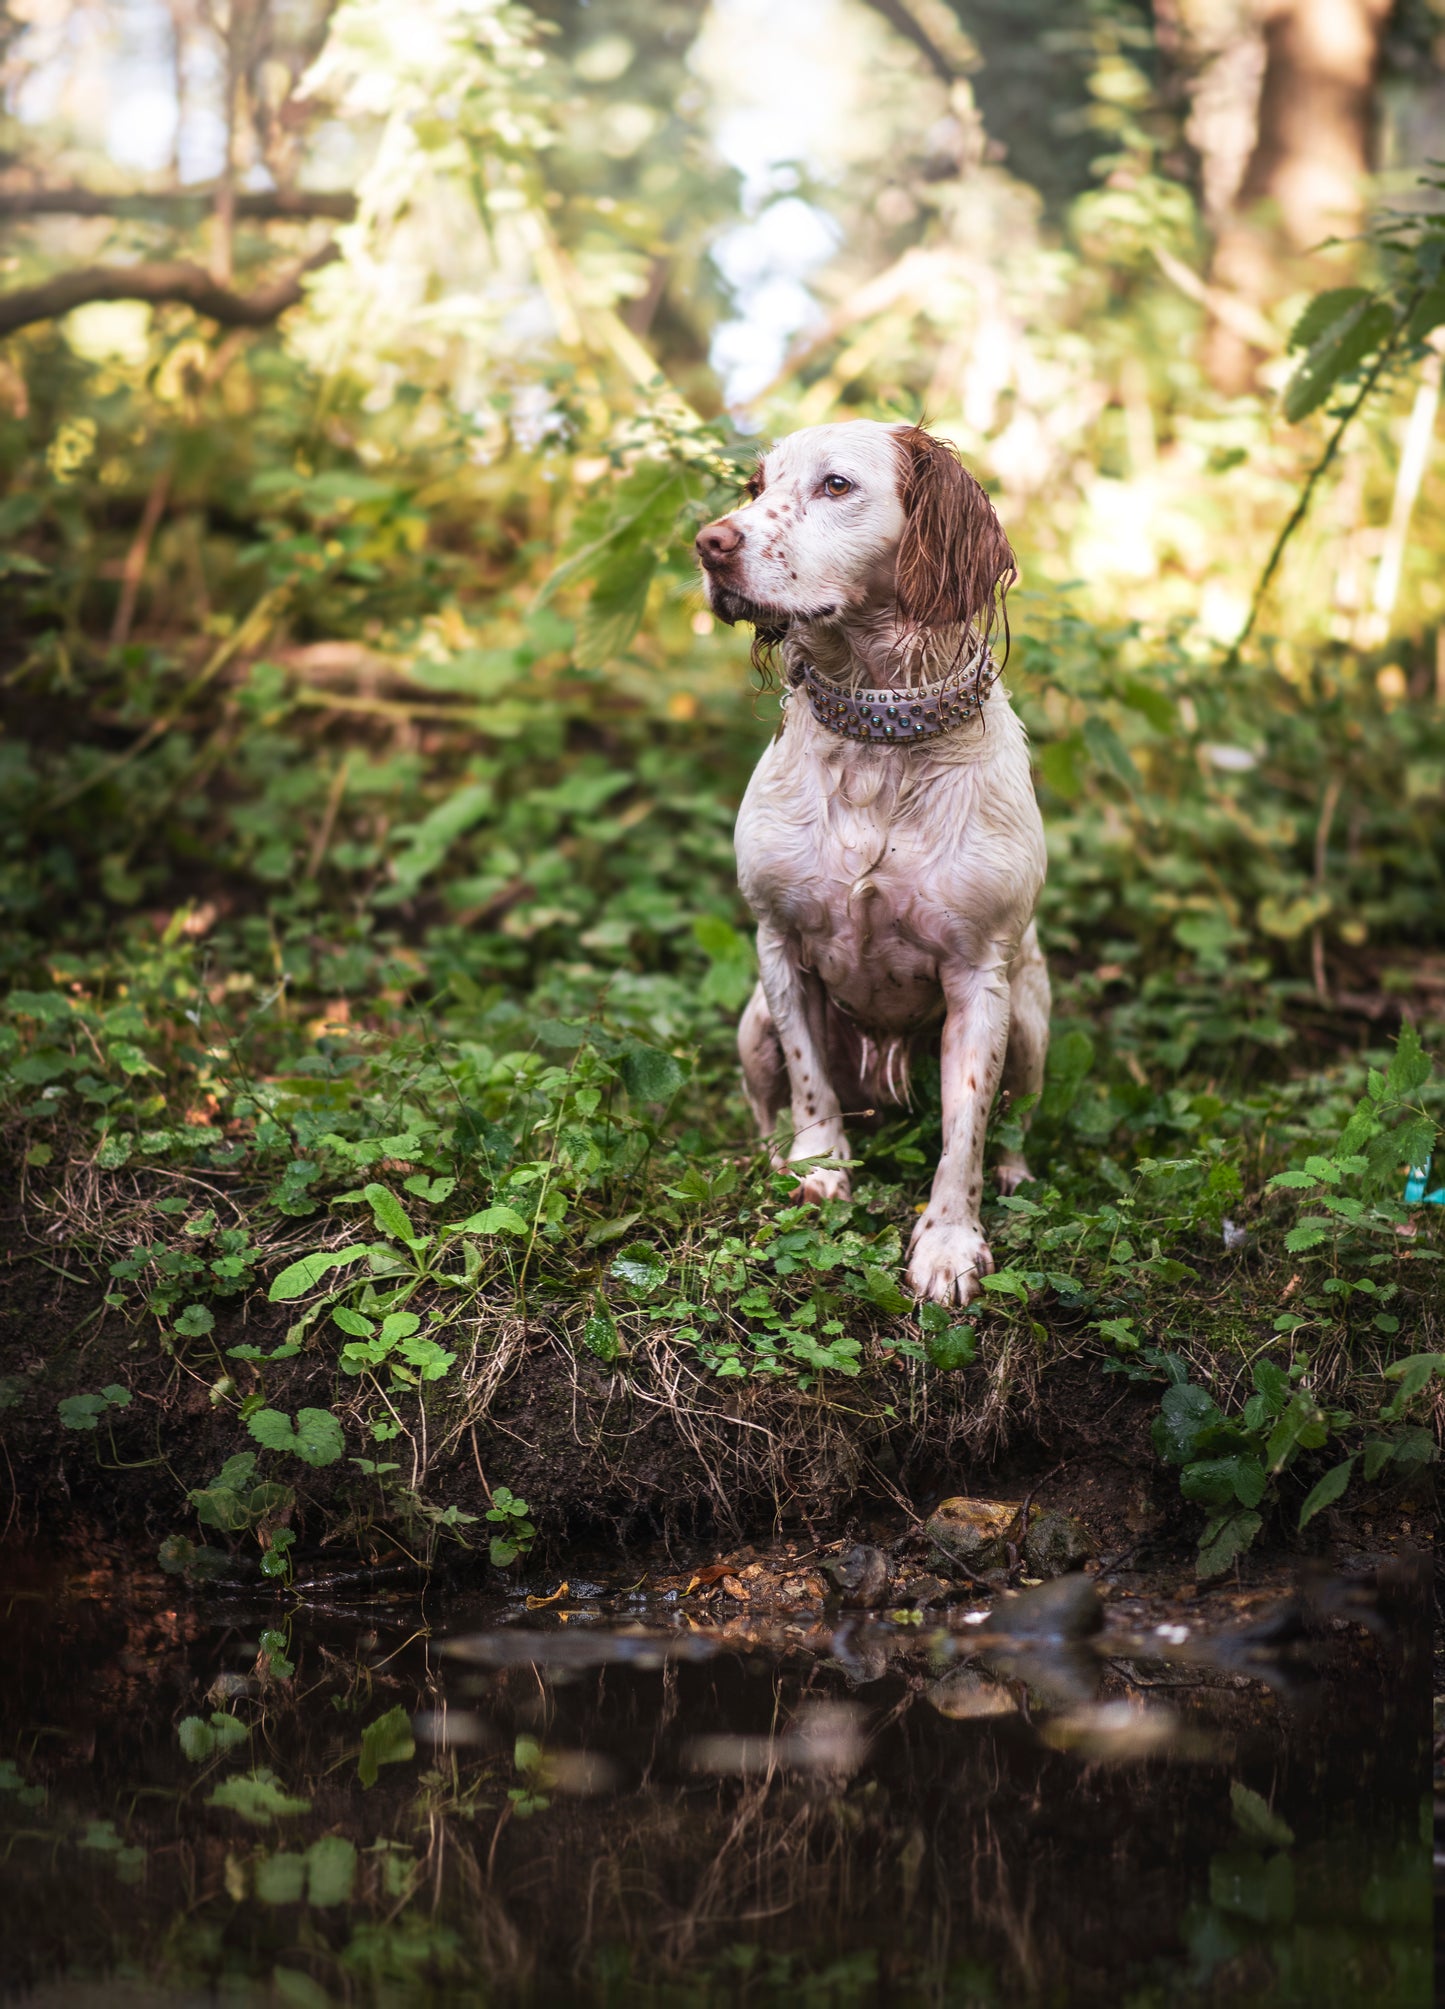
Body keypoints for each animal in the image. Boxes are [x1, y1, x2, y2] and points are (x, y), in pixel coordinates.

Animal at [695, 415, 1045, 1309]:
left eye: (836, 485)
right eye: (755, 487)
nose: (708, 543)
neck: (878, 742)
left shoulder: (980, 977)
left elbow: (966, 1130)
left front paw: (950, 1242)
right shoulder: (778, 944)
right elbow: (808, 1081)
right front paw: (818, 1171)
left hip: (1031, 1022)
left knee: (1015, 1124)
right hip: (749, 1023)